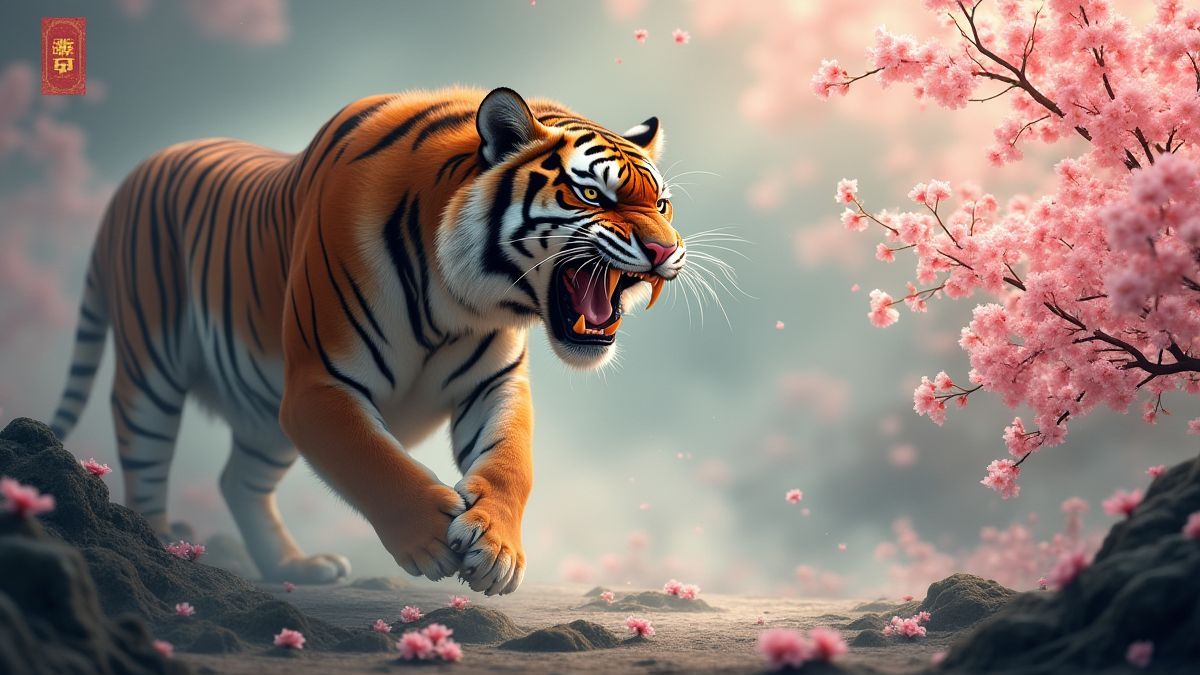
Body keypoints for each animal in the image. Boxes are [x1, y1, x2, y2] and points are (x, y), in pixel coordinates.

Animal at [46, 87, 686, 595]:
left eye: (660, 203)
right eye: (593, 196)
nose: (666, 251)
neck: (458, 301)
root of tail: (141, 167)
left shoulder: (494, 383)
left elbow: (511, 462)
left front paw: (497, 549)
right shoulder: (318, 386)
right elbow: (373, 460)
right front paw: (430, 536)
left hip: (263, 420)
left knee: (238, 480)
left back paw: (297, 567)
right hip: (150, 374)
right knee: (147, 461)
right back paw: (161, 549)